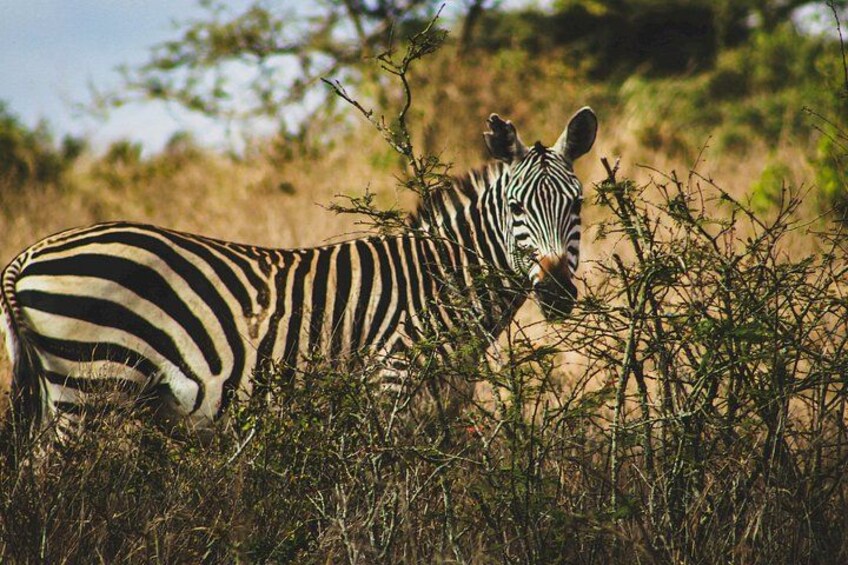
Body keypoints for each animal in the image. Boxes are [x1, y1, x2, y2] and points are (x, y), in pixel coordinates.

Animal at [0, 107, 597, 436]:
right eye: (515, 208)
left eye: (578, 205)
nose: (557, 294)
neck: (440, 283)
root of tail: (27, 255)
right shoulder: (390, 390)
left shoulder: (440, 409)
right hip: (91, 388)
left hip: (61, 395)